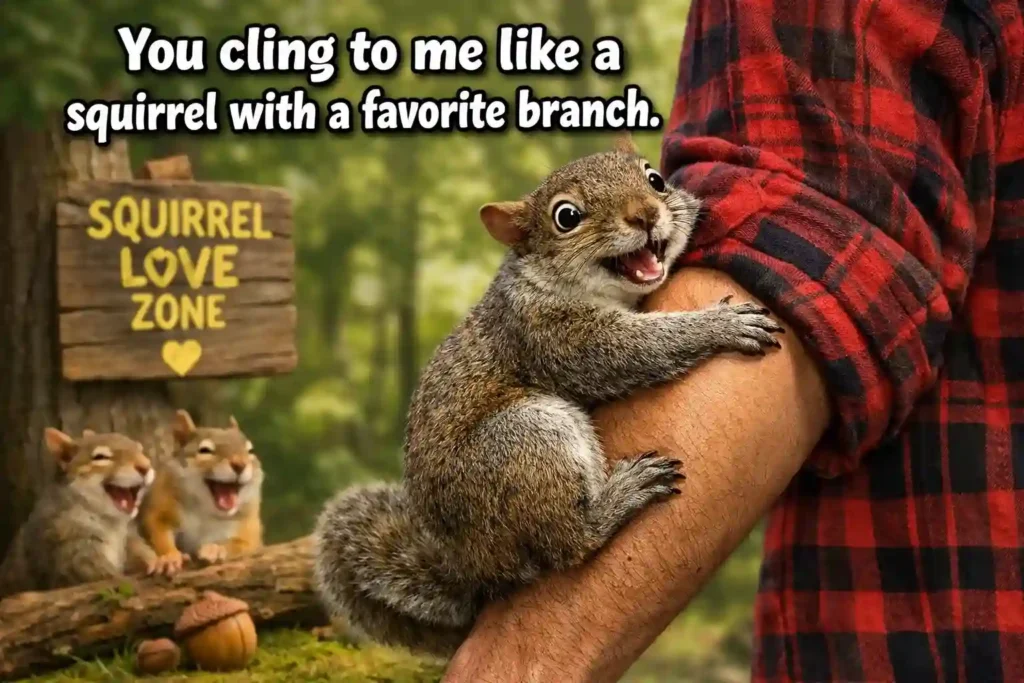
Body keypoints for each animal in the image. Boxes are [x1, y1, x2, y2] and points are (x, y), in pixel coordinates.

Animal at [0, 428, 155, 598]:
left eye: (140, 449)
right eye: (100, 457)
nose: (146, 466)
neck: (109, 521)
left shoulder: (128, 536)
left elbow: (137, 549)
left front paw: (160, 562)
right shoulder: (66, 542)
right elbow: (93, 574)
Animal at [140, 410, 263, 576]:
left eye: (250, 451)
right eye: (204, 450)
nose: (240, 464)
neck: (206, 511)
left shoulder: (249, 530)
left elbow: (241, 545)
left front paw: (216, 549)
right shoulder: (162, 507)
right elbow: (158, 530)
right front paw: (169, 557)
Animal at [312, 136, 784, 656]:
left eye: (655, 179)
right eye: (566, 217)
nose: (644, 215)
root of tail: (473, 568)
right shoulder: (553, 334)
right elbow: (636, 348)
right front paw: (718, 325)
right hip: (531, 436)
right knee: (568, 544)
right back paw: (621, 497)